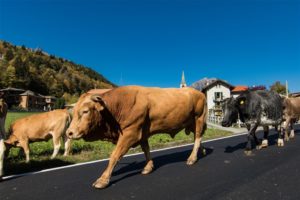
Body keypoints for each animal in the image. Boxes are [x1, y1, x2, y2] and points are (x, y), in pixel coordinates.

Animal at [66, 85, 207, 188]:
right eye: (73, 112)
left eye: (85, 111)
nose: (69, 132)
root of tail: (199, 92)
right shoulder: (142, 133)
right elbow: (146, 150)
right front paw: (148, 167)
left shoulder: (130, 132)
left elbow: (115, 155)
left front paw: (103, 180)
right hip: (191, 123)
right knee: (198, 137)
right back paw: (203, 151)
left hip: (199, 118)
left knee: (198, 137)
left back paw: (192, 158)